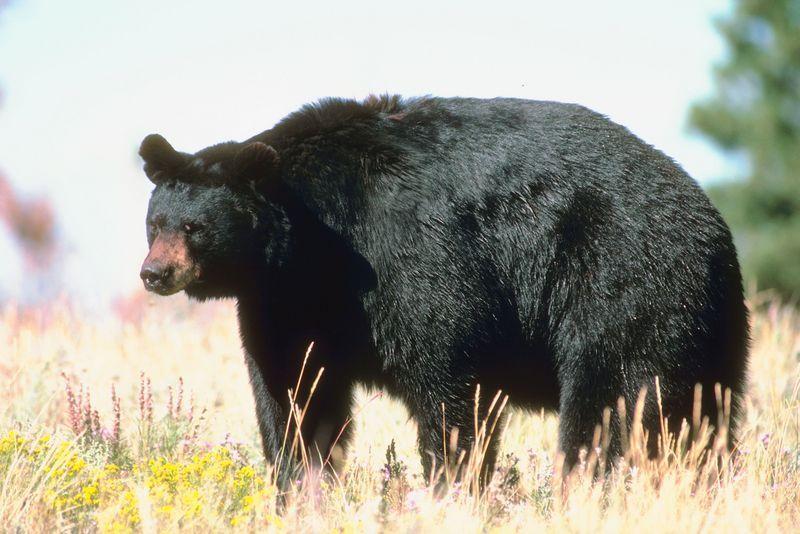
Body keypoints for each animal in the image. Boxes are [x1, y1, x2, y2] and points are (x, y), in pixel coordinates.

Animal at [139, 95, 749, 484]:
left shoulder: (404, 256)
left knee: (616, 398)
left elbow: (446, 374)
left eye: (194, 228)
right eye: (155, 223)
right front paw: (297, 482)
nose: (154, 273)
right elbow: (294, 391)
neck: (309, 247)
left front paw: (451, 480)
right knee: (701, 416)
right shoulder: (285, 305)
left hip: (622, 282)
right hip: (710, 326)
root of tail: (711, 222)